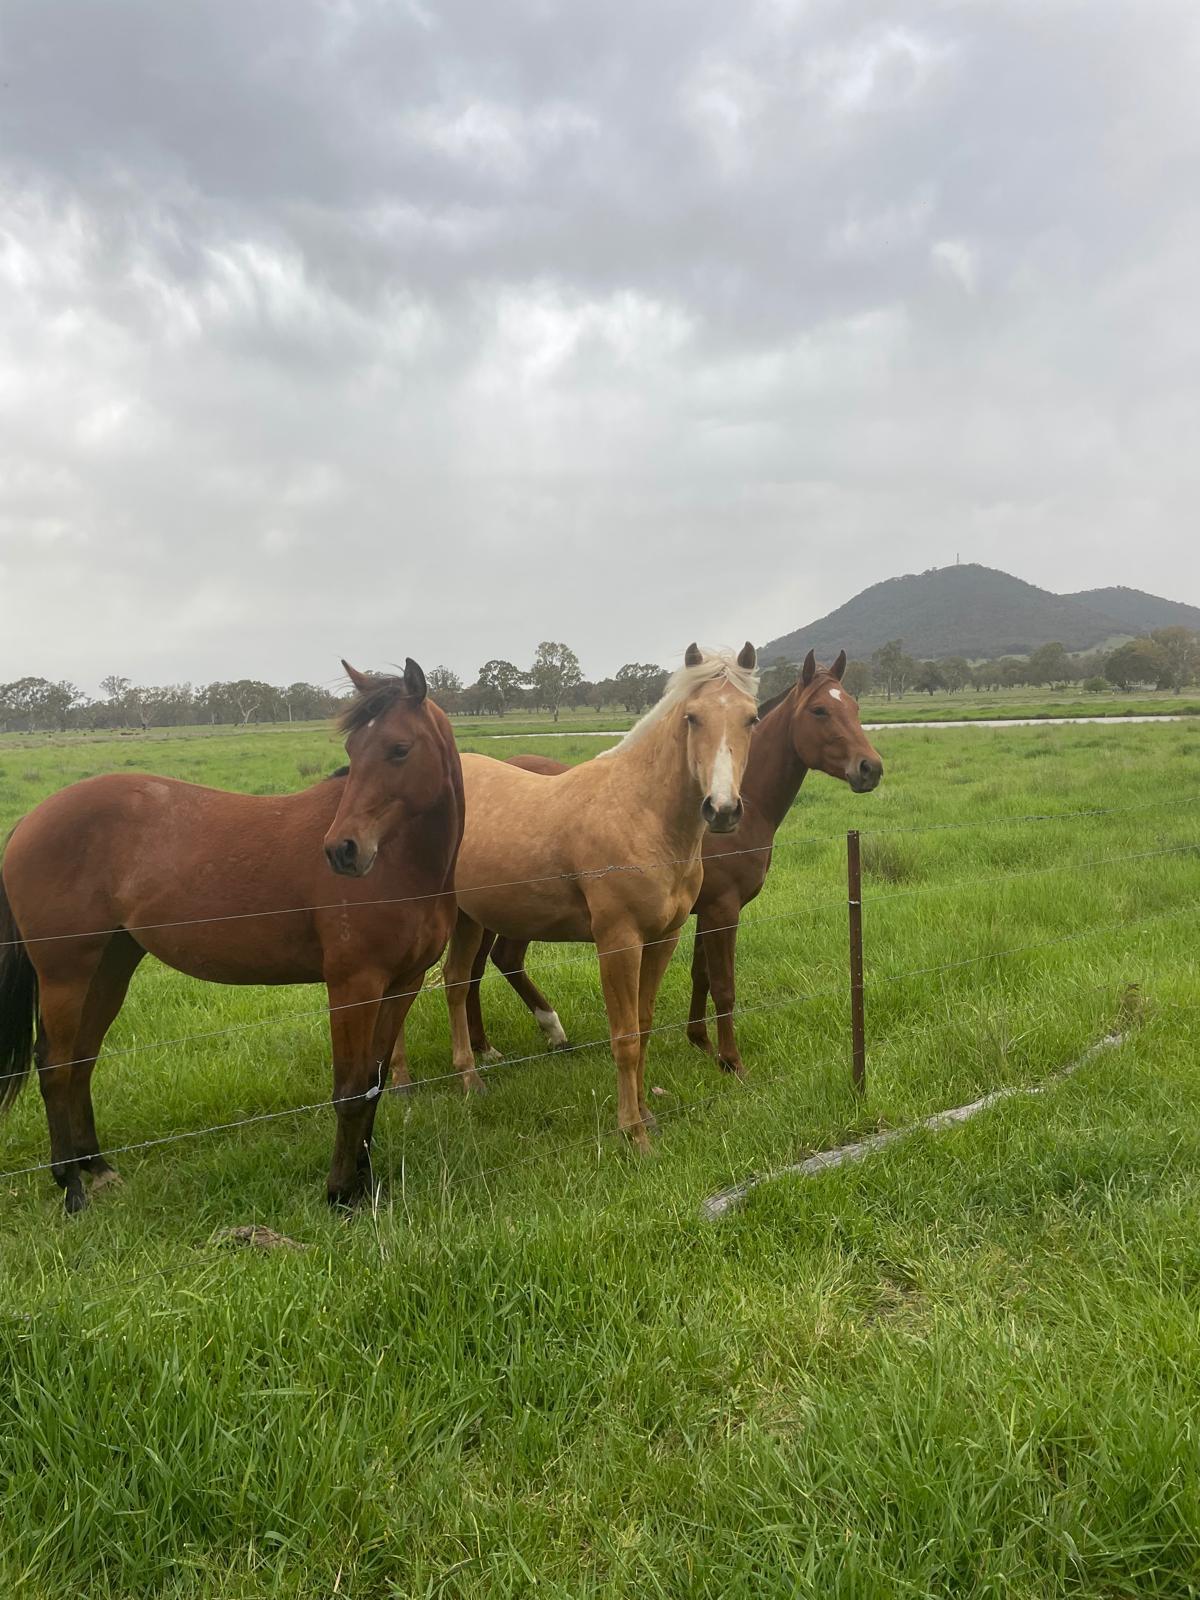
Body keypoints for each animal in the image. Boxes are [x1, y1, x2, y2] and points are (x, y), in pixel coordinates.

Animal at [0, 659, 463, 1212]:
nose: (342, 850)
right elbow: (350, 1089)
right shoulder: (354, 985)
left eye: (399, 748)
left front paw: (365, 1184)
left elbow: (372, 1083)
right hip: (66, 973)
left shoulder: (402, 984)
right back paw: (71, 1187)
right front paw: (338, 1193)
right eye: (353, 751)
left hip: (110, 965)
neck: (403, 862)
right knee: (55, 1065)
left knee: (81, 1060)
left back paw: (97, 1167)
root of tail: (29, 819)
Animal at [392, 644, 759, 1153]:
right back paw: (401, 1084)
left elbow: (644, 1026)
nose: (722, 809)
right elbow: (625, 1037)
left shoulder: (663, 939)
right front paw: (633, 1133)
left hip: (468, 918)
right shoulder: (618, 943)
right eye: (692, 717)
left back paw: (469, 1079)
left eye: (752, 718)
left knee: (455, 981)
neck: (641, 813)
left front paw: (647, 1115)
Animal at [465, 649, 883, 1077]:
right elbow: (723, 986)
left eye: (853, 707)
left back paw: (489, 1044)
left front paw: (701, 1041)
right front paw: (731, 1061)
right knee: (497, 962)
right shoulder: (722, 910)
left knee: (479, 969)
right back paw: (534, 1034)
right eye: (819, 710)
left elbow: (701, 975)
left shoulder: (702, 911)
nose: (870, 768)